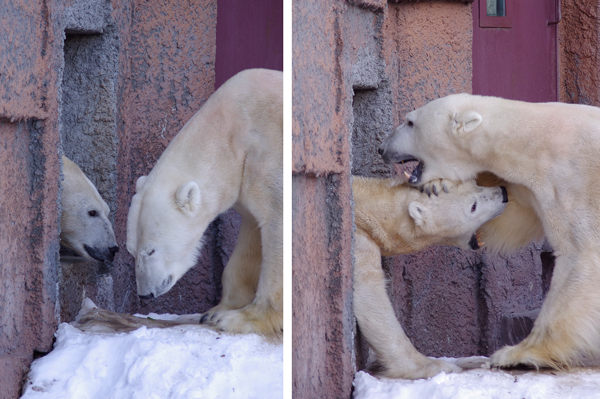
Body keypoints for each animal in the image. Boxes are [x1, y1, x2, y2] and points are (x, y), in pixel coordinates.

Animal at [126, 70, 284, 340]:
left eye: (151, 250)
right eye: (132, 251)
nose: (145, 294)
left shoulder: (269, 157)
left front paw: (242, 319)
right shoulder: (243, 179)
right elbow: (251, 236)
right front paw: (215, 311)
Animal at [354, 177, 508, 380]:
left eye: (476, 183)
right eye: (473, 206)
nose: (504, 192)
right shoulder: (359, 239)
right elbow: (370, 295)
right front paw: (435, 365)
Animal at [380, 93, 600, 368]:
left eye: (410, 122)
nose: (382, 149)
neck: (531, 141)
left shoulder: (574, 182)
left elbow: (580, 256)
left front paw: (516, 353)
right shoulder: (534, 185)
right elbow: (510, 208)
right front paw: (439, 185)